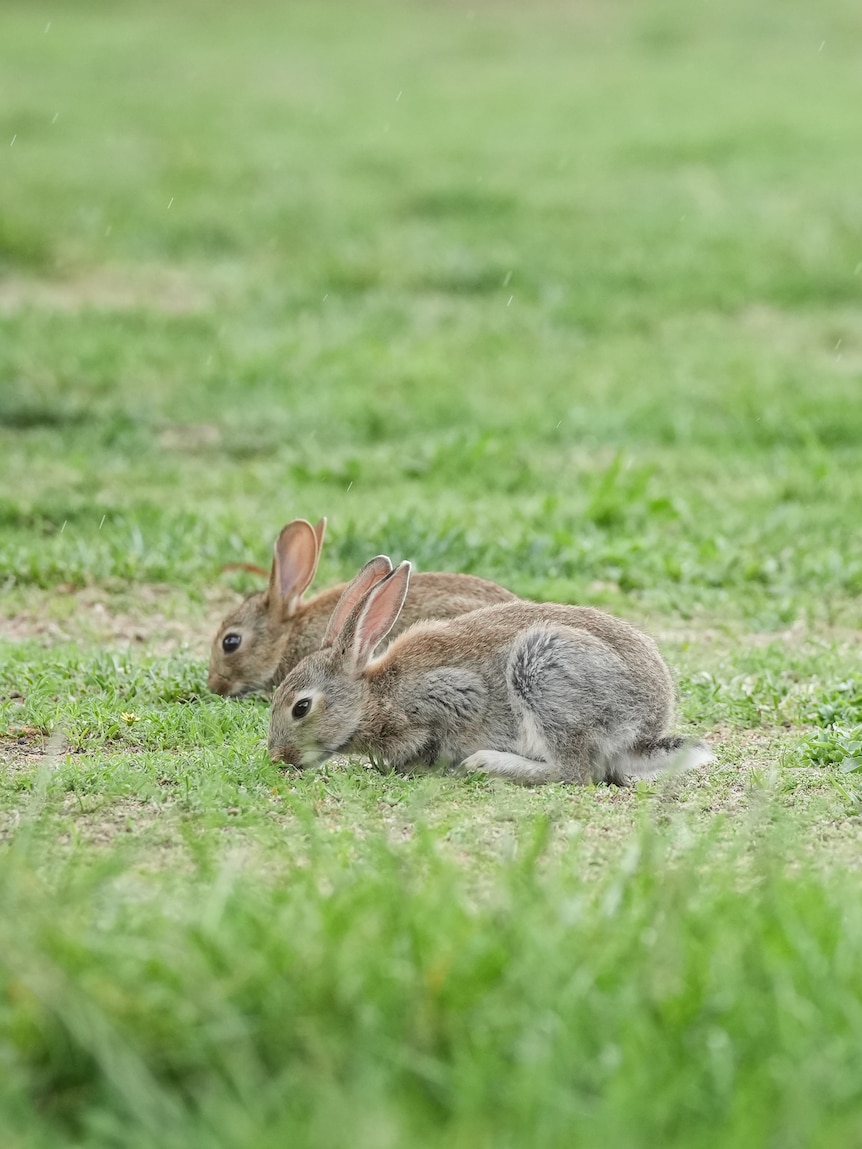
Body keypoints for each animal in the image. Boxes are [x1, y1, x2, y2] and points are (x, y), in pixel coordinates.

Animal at [268, 555, 713, 785]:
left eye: (301, 707)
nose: (277, 757)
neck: (374, 697)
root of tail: (644, 732)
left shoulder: (450, 696)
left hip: (544, 673)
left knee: (574, 771)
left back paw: (485, 763)